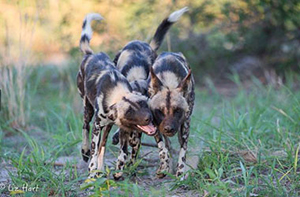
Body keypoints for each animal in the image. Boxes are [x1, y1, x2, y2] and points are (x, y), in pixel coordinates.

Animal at [77, 13, 156, 177]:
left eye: (145, 105)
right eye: (130, 111)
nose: (149, 118)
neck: (117, 93)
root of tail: (91, 54)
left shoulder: (123, 128)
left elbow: (123, 152)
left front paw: (119, 171)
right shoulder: (97, 126)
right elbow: (95, 151)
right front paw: (92, 173)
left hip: (107, 126)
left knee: (103, 145)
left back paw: (101, 169)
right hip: (88, 109)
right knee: (85, 127)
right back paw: (85, 152)